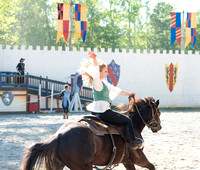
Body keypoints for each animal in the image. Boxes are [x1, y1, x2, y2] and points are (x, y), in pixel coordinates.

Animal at [22, 95, 162, 170]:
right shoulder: (139, 157)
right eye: (158, 112)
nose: (159, 127)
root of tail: (58, 136)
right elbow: (152, 166)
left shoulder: (126, 161)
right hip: (84, 166)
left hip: (57, 165)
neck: (132, 125)